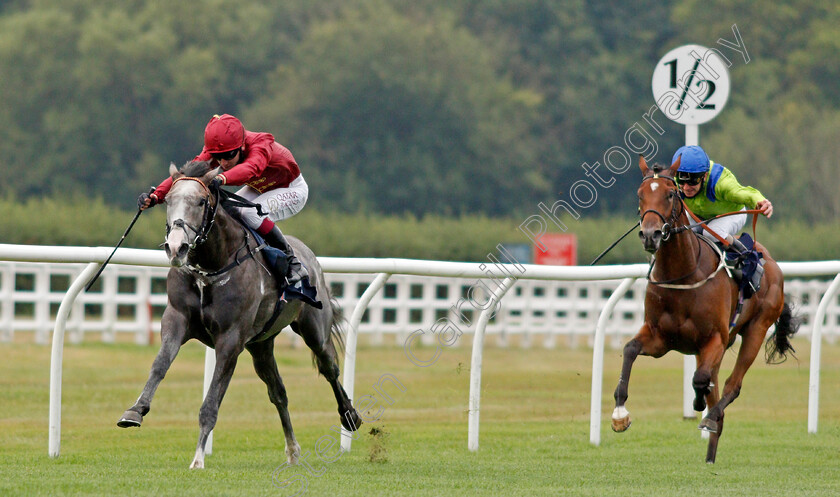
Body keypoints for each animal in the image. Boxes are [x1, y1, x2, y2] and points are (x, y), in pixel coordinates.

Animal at [117, 160, 360, 468]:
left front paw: (198, 458)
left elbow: (212, 400)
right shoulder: (176, 319)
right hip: (261, 345)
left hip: (314, 329)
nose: (176, 248)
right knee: (278, 392)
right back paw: (293, 450)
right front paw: (135, 411)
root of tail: (309, 255)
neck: (211, 266)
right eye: (168, 201)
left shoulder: (230, 340)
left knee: (330, 368)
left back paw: (350, 416)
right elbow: (159, 365)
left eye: (200, 201)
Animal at [612, 154, 800, 462]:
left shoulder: (714, 339)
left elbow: (701, 379)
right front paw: (619, 414)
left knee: (732, 385)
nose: (650, 235)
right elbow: (629, 349)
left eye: (670, 194)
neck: (683, 274)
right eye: (639, 195)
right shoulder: (660, 337)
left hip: (756, 329)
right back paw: (709, 456)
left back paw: (710, 415)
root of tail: (771, 262)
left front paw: (700, 406)